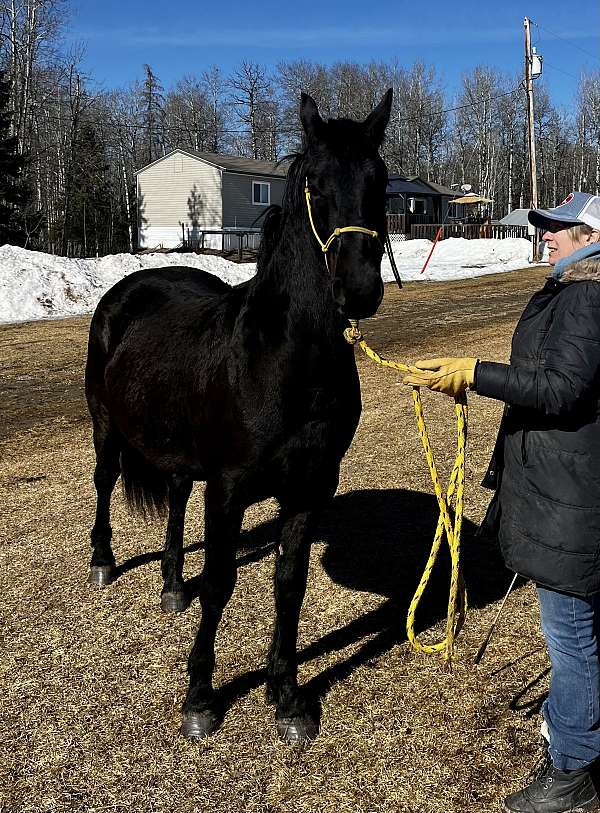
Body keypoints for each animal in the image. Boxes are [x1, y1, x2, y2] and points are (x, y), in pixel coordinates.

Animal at [84, 89, 394, 744]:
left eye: (379, 181)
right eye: (315, 183)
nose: (358, 290)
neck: (284, 360)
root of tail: (131, 288)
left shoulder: (309, 487)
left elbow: (289, 584)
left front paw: (287, 696)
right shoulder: (227, 489)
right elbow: (222, 583)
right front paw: (201, 698)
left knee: (176, 495)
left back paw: (172, 585)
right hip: (105, 425)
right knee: (103, 482)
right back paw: (103, 562)